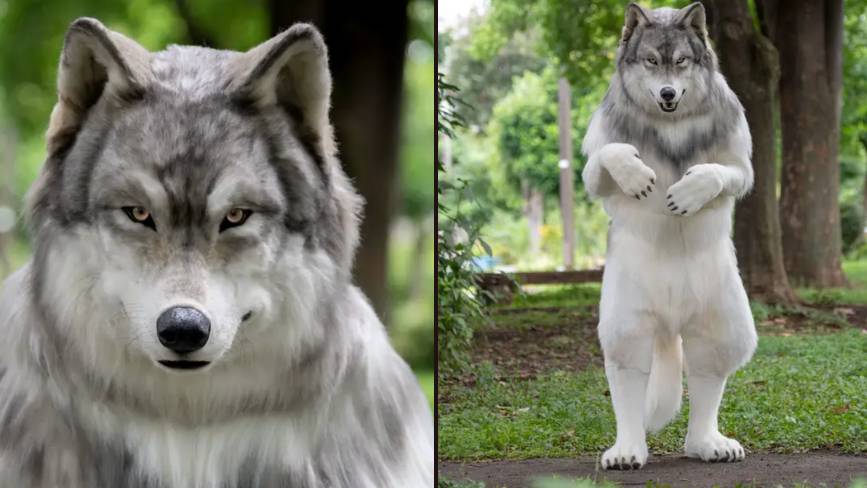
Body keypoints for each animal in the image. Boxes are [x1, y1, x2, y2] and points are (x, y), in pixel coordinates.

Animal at [581, 2, 757, 470]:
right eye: (650, 62)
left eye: (681, 62)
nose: (667, 94)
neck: (670, 123)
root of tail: (671, 318)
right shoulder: (599, 155)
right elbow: (607, 157)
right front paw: (634, 172)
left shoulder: (736, 157)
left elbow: (726, 172)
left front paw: (692, 189)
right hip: (628, 310)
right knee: (628, 366)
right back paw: (628, 449)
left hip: (720, 307)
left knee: (709, 363)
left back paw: (706, 443)